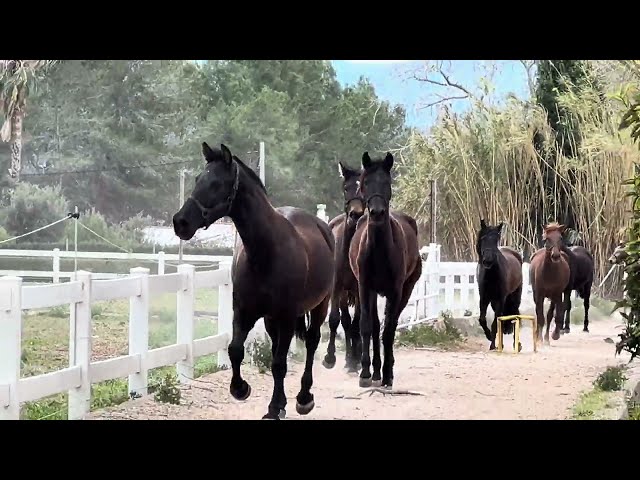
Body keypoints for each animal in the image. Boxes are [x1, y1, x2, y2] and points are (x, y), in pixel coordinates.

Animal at [172, 142, 338, 420]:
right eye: (197, 179)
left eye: (216, 183)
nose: (180, 222)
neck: (265, 253)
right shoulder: (244, 312)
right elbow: (236, 350)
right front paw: (241, 389)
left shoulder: (286, 316)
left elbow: (279, 363)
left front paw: (273, 408)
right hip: (271, 320)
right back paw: (282, 402)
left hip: (319, 306)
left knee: (312, 342)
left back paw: (303, 398)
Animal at [476, 219, 524, 350]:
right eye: (483, 238)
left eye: (496, 239)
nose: (488, 260)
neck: (492, 275)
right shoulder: (484, 298)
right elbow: (482, 319)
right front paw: (489, 337)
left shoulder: (500, 299)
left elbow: (495, 322)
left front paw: (493, 344)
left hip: (514, 297)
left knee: (515, 314)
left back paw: (516, 344)